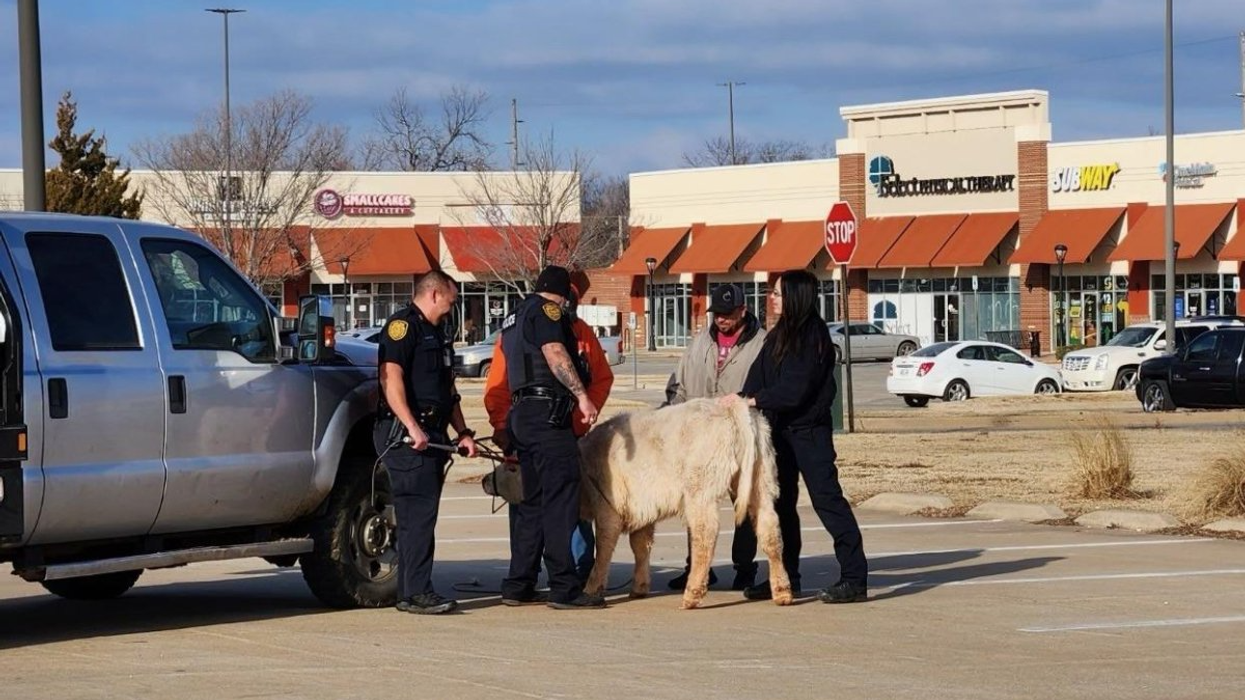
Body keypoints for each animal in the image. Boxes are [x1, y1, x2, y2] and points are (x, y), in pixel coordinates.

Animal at [577, 397, 793, 609]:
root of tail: (732, 406)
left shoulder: (607, 507)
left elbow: (604, 547)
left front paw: (592, 588)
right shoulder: (642, 509)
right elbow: (641, 546)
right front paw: (639, 587)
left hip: (700, 491)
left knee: (705, 534)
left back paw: (691, 594)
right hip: (762, 481)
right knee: (769, 529)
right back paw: (782, 592)